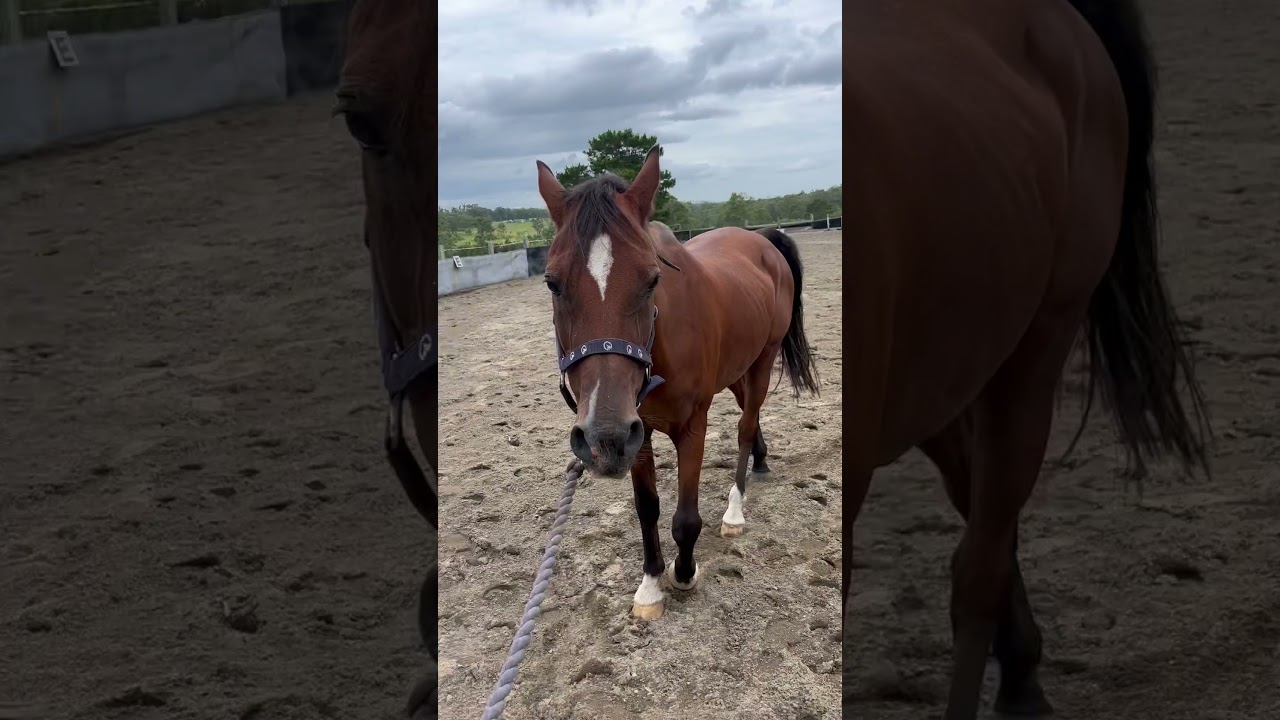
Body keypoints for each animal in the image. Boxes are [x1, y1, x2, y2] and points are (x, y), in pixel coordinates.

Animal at [534, 147, 822, 620]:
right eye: (552, 283)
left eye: (653, 279)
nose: (603, 437)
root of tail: (761, 240)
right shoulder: (639, 434)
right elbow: (647, 509)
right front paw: (650, 584)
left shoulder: (691, 426)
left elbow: (685, 518)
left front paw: (683, 573)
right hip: (736, 372)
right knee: (750, 416)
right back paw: (761, 462)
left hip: (762, 362)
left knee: (745, 427)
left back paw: (735, 510)